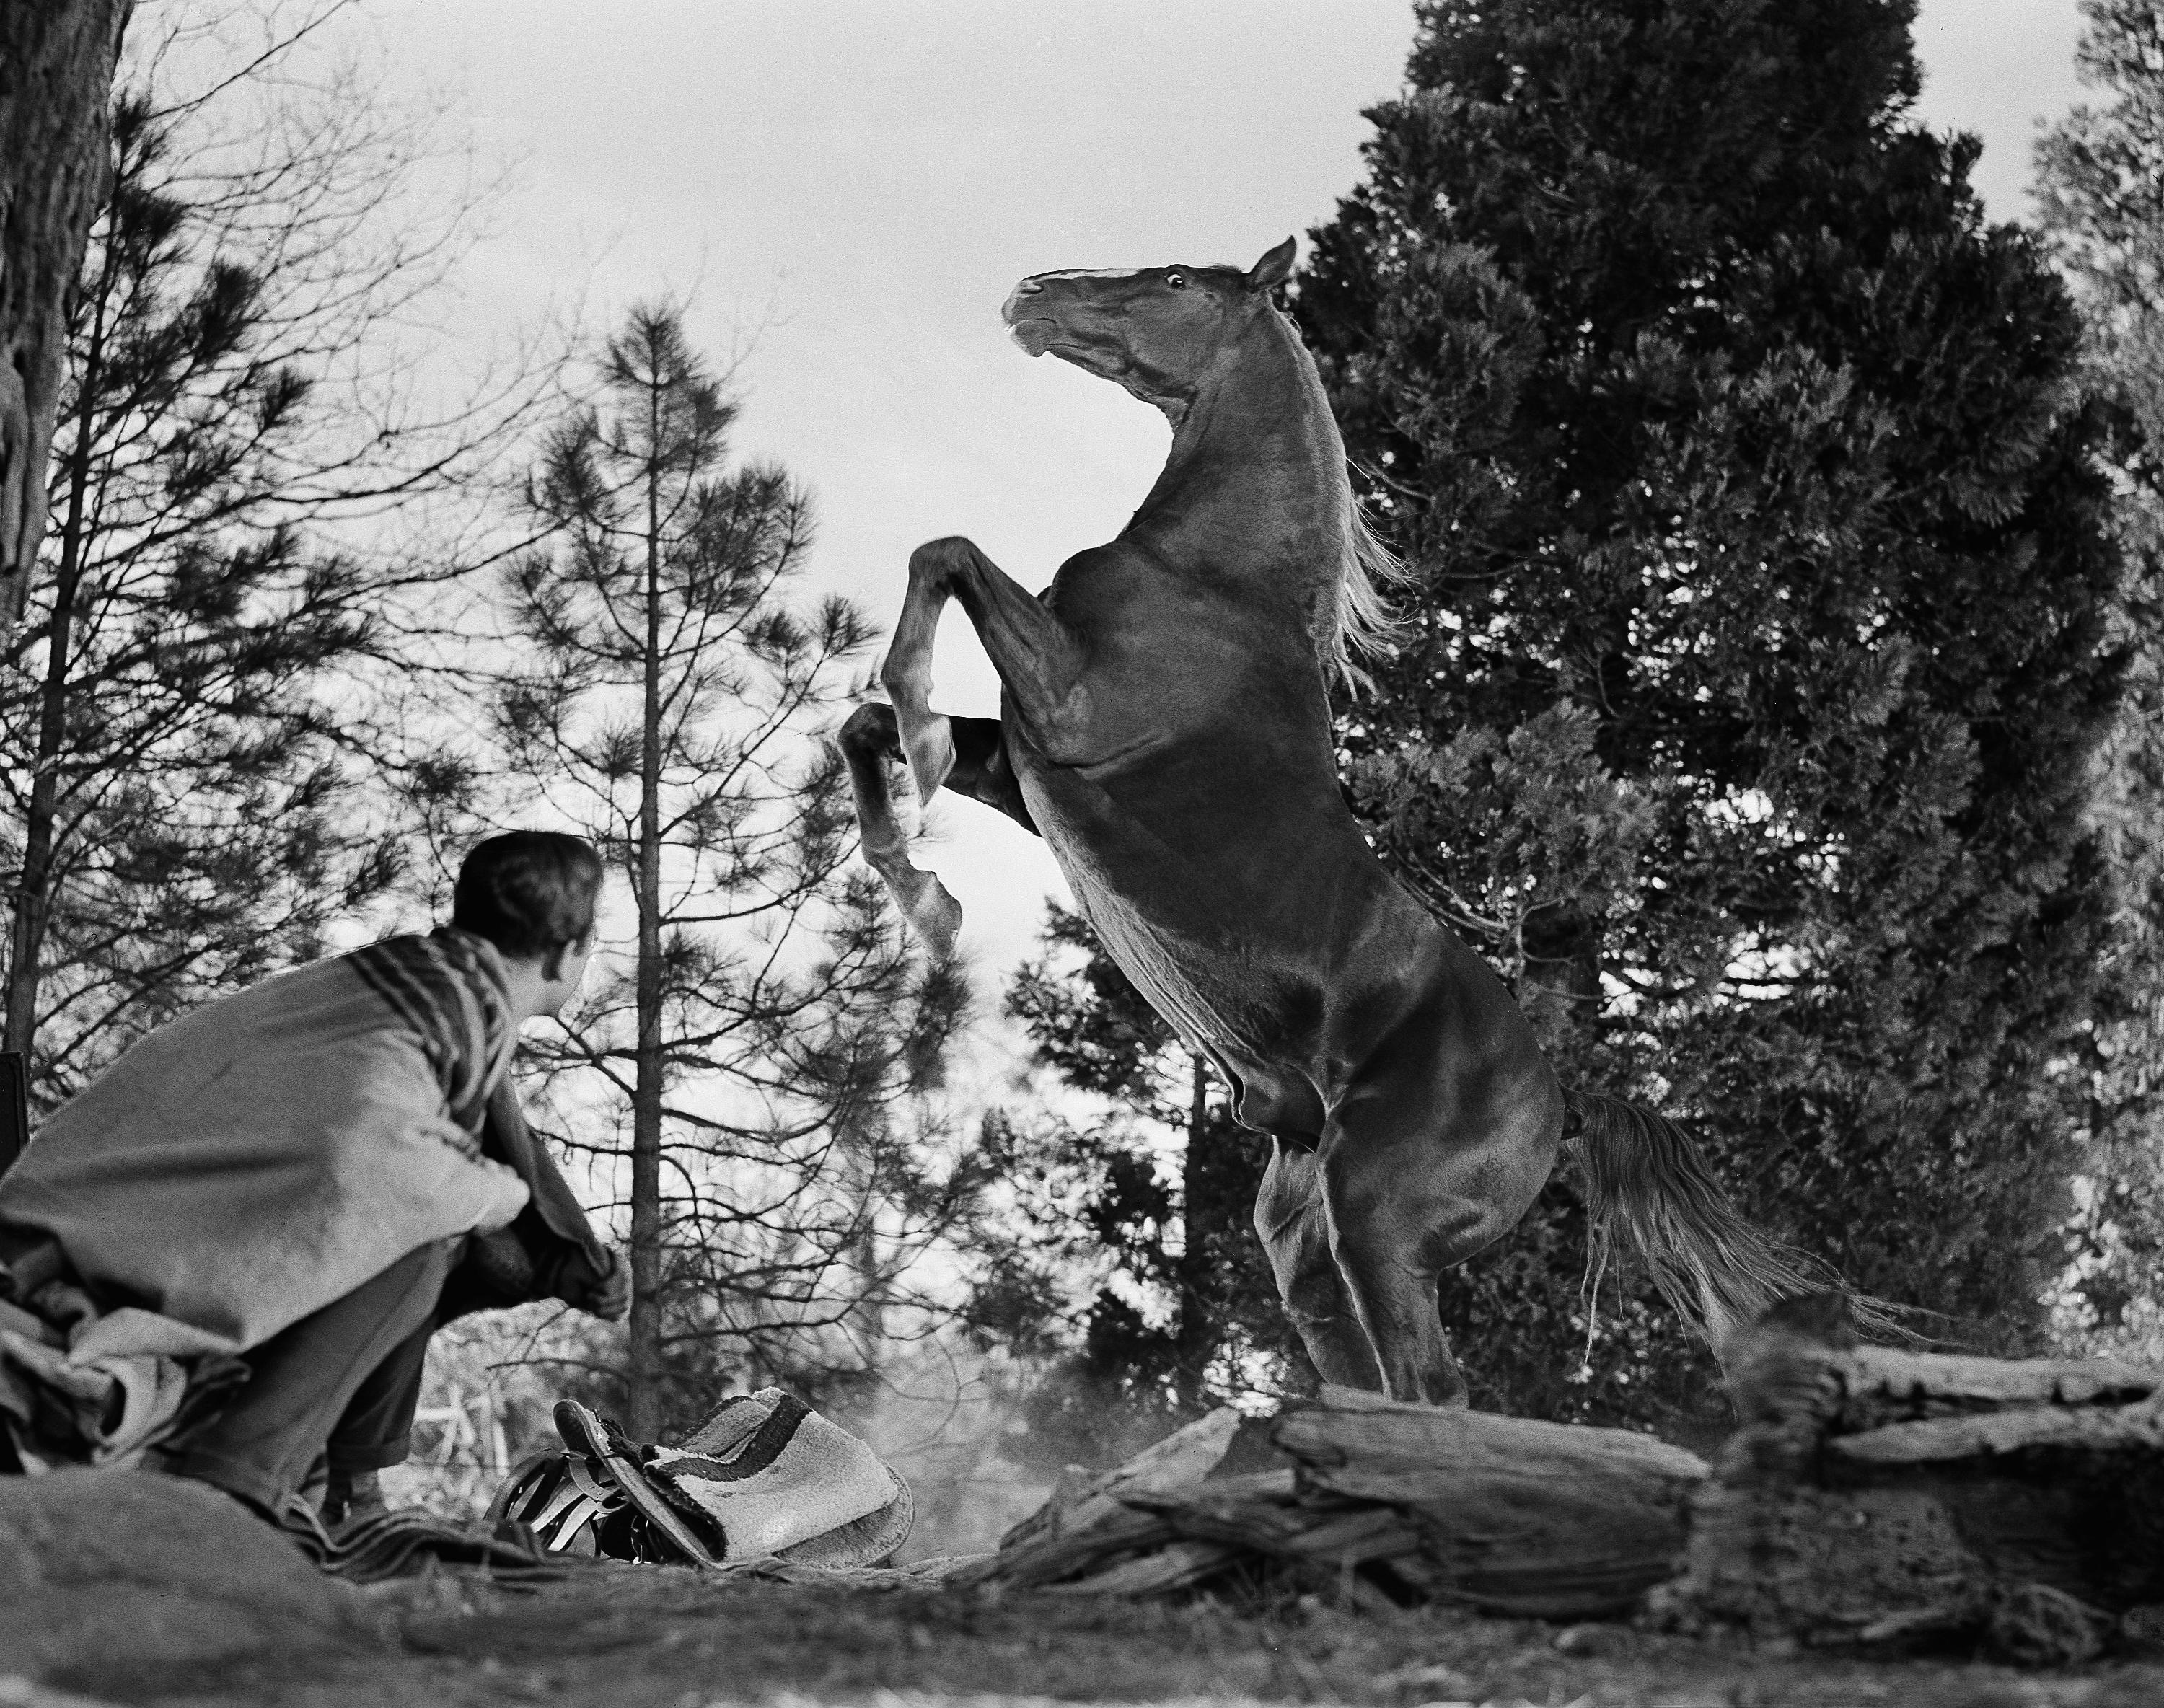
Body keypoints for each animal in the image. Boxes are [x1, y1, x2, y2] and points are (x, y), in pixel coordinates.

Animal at [835, 243, 1852, 1411]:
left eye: (1178, 280)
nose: (1034, 293)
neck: (1217, 580)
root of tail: (1563, 1102)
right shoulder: (1022, 767)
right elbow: (867, 720)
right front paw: (924, 895)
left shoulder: (1071, 707)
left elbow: (943, 557)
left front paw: (918, 759)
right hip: (1303, 1242)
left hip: (1375, 1218)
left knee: (1429, 1389)